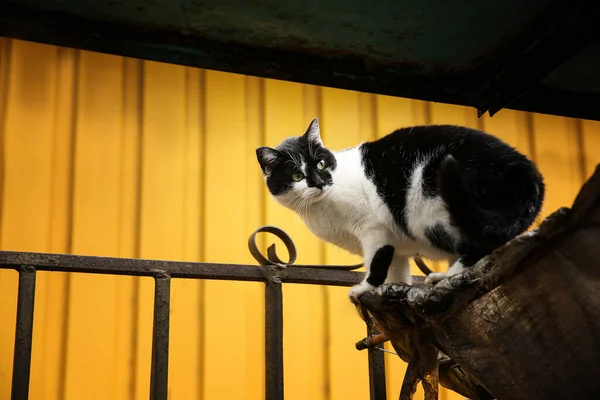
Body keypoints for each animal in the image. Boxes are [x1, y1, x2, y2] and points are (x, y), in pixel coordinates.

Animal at [255, 117, 548, 298]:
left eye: (321, 164)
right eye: (296, 175)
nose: (317, 183)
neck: (322, 207)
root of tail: (529, 171)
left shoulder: (373, 230)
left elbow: (376, 261)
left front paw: (365, 289)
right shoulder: (395, 243)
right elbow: (396, 269)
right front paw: (395, 289)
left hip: (439, 206)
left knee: (477, 246)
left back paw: (446, 277)